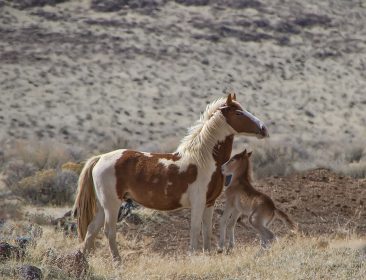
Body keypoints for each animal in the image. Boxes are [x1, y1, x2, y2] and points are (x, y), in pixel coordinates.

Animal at [73, 93, 268, 260]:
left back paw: (84, 260)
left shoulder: (209, 203)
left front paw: (207, 255)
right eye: (238, 112)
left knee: (91, 230)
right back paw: (117, 262)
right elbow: (195, 230)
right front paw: (193, 257)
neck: (205, 160)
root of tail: (100, 158)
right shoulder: (198, 203)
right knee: (109, 231)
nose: (264, 129)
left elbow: (206, 231)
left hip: (102, 206)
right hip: (112, 204)